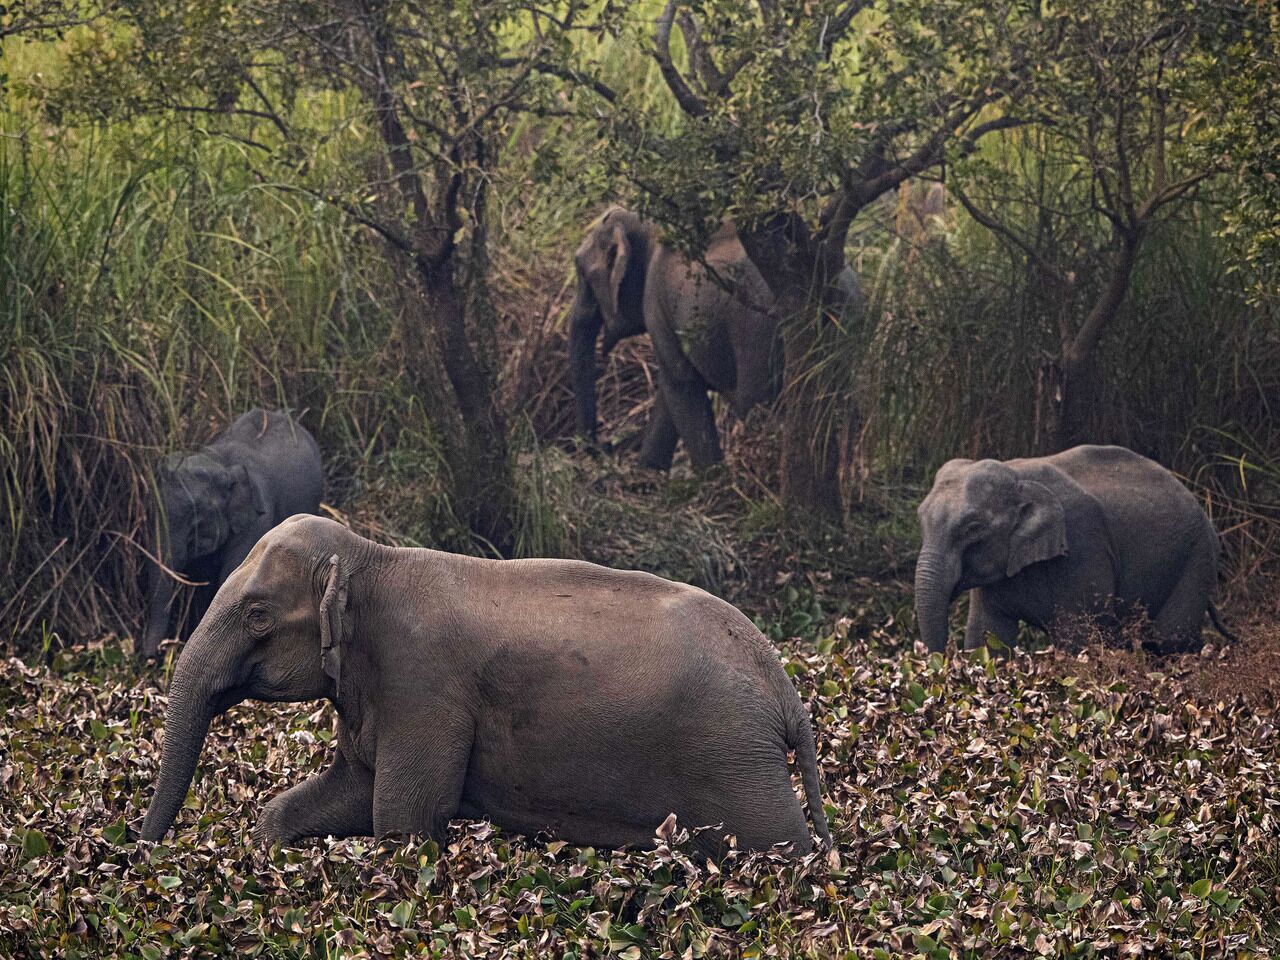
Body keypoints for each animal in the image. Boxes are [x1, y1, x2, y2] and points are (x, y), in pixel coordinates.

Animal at [140, 514, 834, 860]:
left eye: (257, 614)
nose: (142, 852)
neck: (373, 558)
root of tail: (784, 689)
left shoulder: (423, 689)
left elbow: (402, 820)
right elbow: (349, 796)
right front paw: (268, 842)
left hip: (736, 763)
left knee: (780, 850)